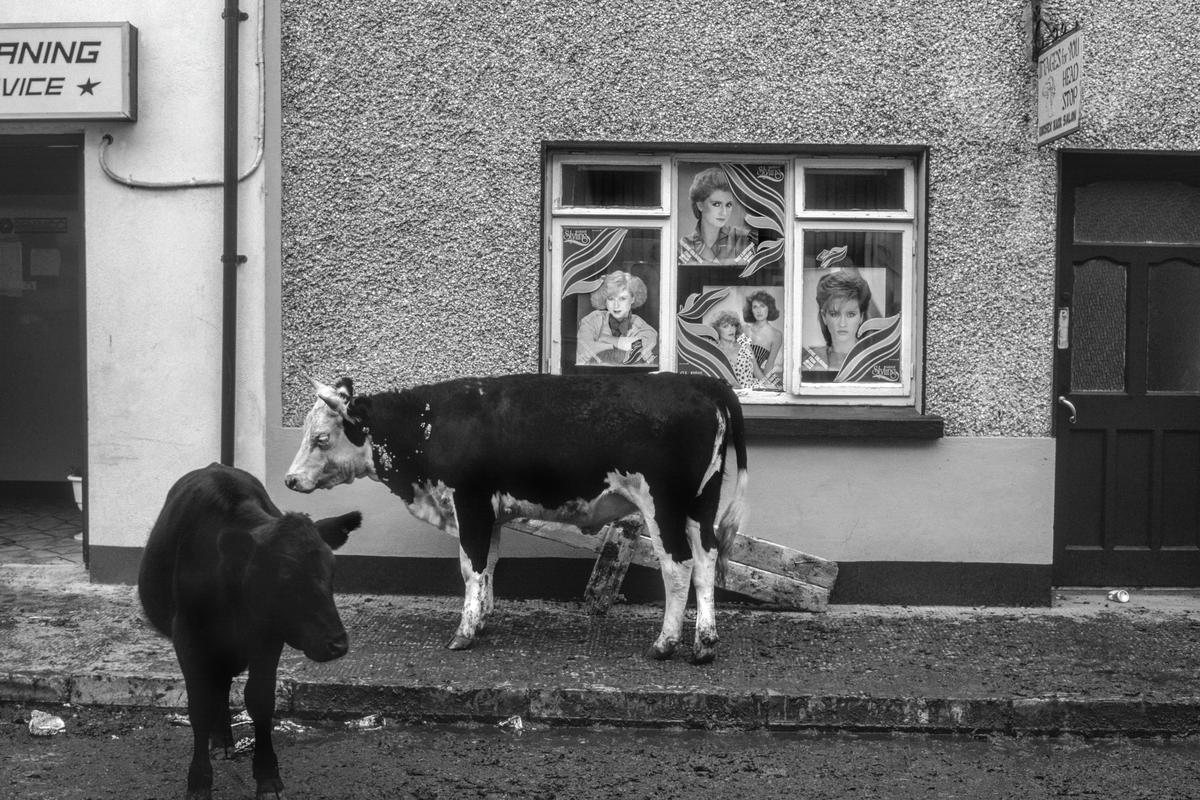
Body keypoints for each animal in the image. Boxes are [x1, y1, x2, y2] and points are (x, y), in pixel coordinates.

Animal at [137, 462, 360, 800]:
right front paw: (199, 782)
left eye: (332, 570)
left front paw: (268, 777)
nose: (337, 644)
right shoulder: (188, 638)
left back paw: (224, 740)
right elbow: (199, 705)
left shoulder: (268, 637)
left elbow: (260, 700)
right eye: (284, 576)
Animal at [284, 371, 744, 666]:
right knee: (706, 562)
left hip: (662, 505)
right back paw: (704, 644)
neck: (429, 424)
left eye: (321, 438)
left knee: (678, 566)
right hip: (700, 506)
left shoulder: (469, 503)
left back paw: (665, 643)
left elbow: (470, 568)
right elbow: (488, 564)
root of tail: (699, 381)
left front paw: (464, 633)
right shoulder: (489, 513)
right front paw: (482, 619)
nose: (289, 479)